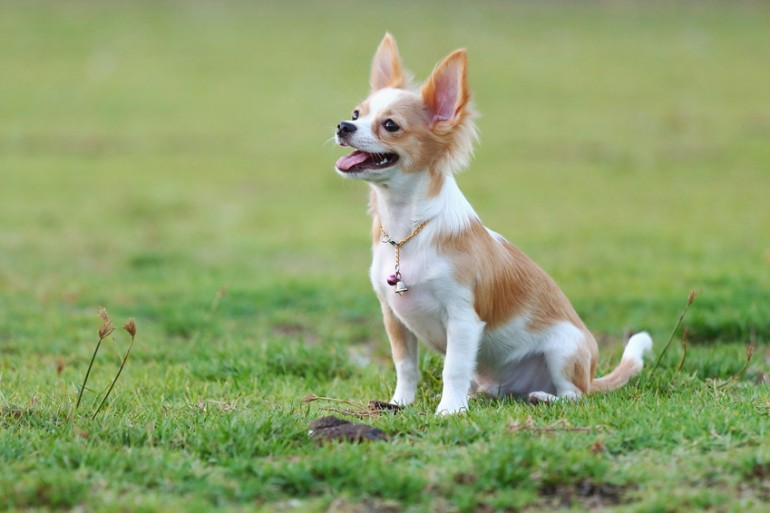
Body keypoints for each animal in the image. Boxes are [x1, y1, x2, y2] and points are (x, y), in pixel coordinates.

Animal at [332, 35, 652, 412]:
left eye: (390, 125)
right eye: (357, 114)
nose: (343, 126)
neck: (406, 231)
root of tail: (591, 376)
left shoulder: (463, 320)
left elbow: (453, 367)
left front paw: (449, 411)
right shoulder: (394, 317)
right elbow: (405, 365)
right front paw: (400, 403)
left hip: (565, 350)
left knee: (574, 395)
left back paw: (544, 397)